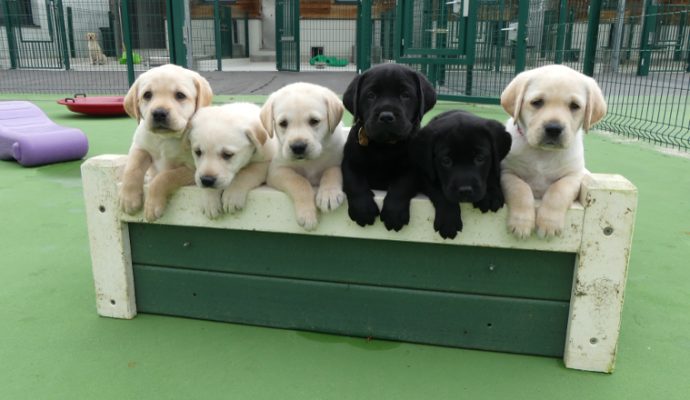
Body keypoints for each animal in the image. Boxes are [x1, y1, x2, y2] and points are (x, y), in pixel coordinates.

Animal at [119, 65, 212, 222]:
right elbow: (132, 168)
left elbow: (165, 176)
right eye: (147, 95)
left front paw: (152, 205)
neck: (164, 139)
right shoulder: (140, 146)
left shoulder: (192, 169)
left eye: (180, 95)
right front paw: (129, 198)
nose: (159, 113)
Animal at [262, 83, 350, 230]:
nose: (298, 147)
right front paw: (308, 214)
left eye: (314, 121)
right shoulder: (277, 170)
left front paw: (329, 194)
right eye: (283, 123)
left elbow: (331, 171)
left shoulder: (339, 160)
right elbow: (299, 181)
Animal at [340, 64, 432, 230]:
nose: (386, 116)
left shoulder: (412, 168)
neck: (384, 146)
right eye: (370, 95)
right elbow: (354, 181)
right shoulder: (350, 162)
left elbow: (402, 185)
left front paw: (394, 214)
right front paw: (363, 210)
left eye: (405, 95)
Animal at [408, 109, 510, 239]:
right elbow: (439, 190)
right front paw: (448, 220)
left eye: (480, 158)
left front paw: (491, 194)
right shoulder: (425, 173)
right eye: (446, 161)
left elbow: (492, 173)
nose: (465, 191)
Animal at [498, 64, 604, 239]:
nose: (554, 129)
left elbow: (558, 191)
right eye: (537, 102)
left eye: (574, 106)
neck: (543, 153)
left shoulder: (574, 176)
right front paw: (521, 223)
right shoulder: (507, 172)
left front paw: (549, 224)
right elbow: (520, 189)